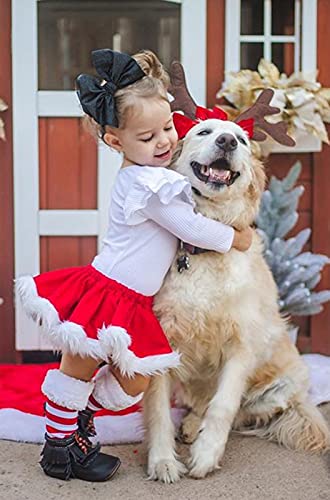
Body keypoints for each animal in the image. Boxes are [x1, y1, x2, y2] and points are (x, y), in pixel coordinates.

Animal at [144, 108, 330, 480]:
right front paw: (162, 461)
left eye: (242, 140)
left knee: (242, 412)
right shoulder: (163, 338)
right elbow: (158, 408)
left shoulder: (241, 344)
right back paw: (189, 424)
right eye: (204, 131)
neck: (206, 243)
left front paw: (205, 455)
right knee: (200, 404)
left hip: (278, 388)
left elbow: (224, 405)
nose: (227, 141)